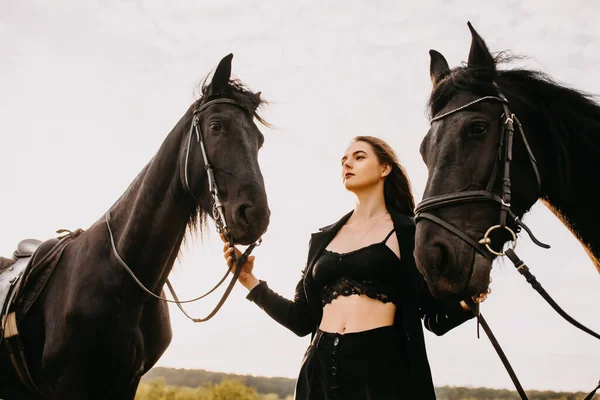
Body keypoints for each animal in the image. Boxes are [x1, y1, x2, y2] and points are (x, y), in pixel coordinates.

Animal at [0, 54, 270, 400]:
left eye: (259, 141)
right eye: (216, 126)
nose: (257, 215)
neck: (121, 277)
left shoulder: (126, 383)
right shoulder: (69, 384)